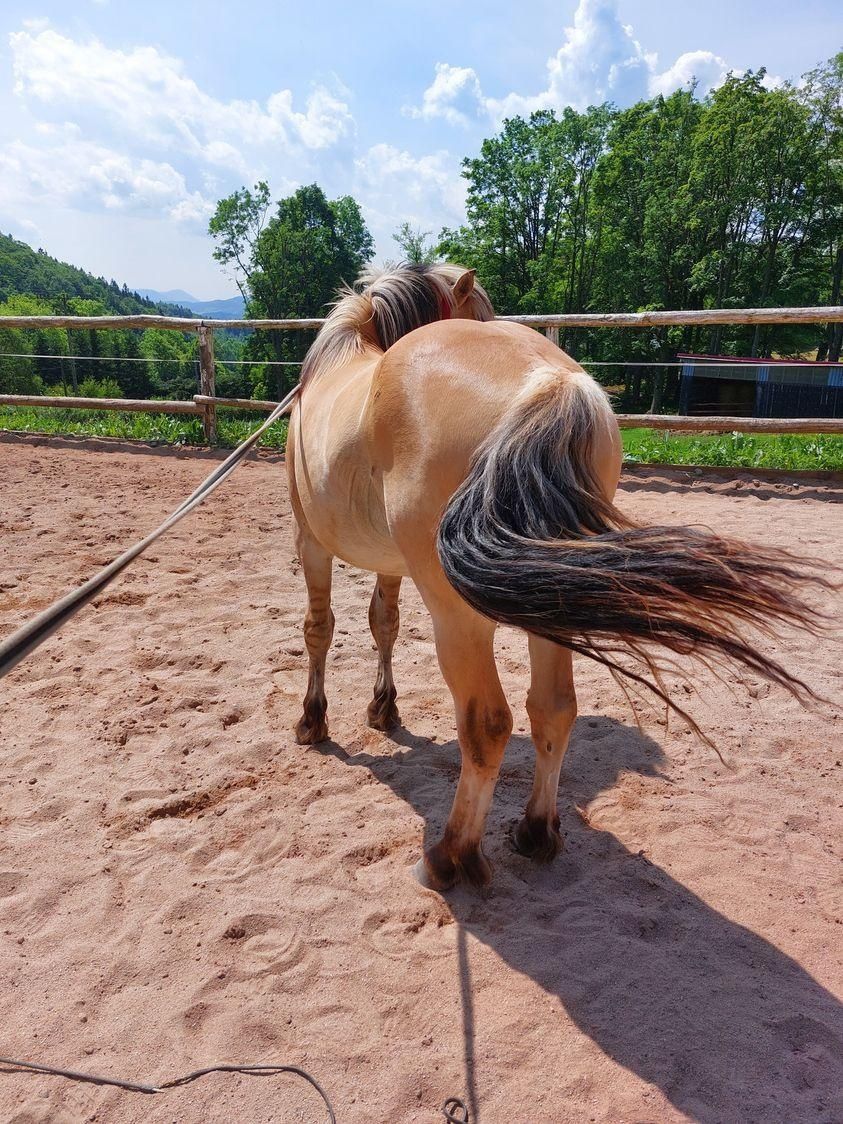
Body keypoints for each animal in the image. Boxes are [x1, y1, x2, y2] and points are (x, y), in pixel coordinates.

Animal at [287, 260, 827, 885]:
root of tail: (549, 383)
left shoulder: (310, 543)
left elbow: (320, 630)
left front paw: (313, 721)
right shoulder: (386, 561)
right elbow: (384, 624)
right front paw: (383, 709)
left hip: (460, 615)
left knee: (487, 723)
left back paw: (450, 856)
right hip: (547, 596)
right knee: (553, 709)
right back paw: (536, 831)